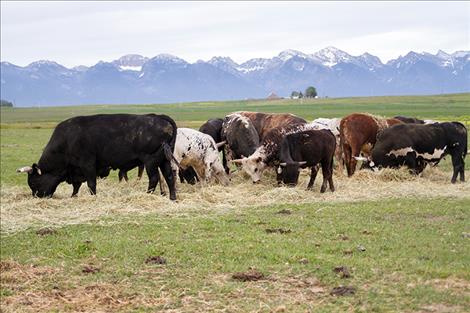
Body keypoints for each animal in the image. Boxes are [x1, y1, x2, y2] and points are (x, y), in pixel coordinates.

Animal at [17, 113, 178, 199]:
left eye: (34, 182)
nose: (37, 196)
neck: (67, 140)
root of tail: (159, 117)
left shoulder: (87, 165)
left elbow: (91, 183)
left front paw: (93, 196)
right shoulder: (77, 170)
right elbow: (76, 186)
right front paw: (73, 196)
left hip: (150, 162)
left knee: (154, 178)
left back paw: (148, 194)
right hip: (164, 161)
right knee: (169, 177)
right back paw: (172, 198)